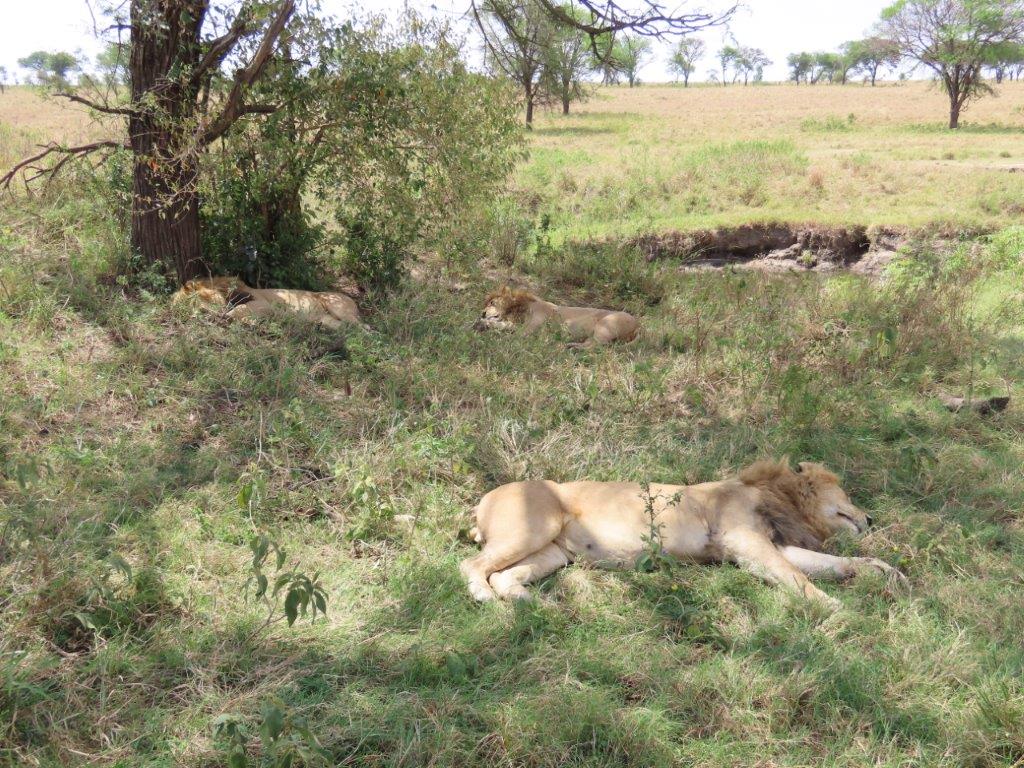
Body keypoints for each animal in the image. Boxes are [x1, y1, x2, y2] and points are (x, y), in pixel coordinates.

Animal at [172, 277, 363, 330]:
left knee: (365, 328)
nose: (191, 316)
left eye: (188, 303)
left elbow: (236, 310)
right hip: (328, 320)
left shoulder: (263, 304)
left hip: (337, 308)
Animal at [460, 460, 906, 610]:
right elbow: (797, 578)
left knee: (505, 575)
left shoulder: (770, 545)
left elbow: (830, 564)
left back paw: (538, 605)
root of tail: (482, 501)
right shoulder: (744, 540)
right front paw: (835, 607)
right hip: (535, 527)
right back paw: (485, 597)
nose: (870, 518)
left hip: (554, 552)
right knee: (473, 565)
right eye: (847, 495)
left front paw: (885, 571)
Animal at [474, 286, 639, 345]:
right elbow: (504, 325)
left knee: (598, 347)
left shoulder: (528, 330)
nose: (483, 312)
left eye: (492, 303)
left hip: (604, 326)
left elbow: (511, 332)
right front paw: (481, 323)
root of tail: (638, 327)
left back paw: (571, 347)